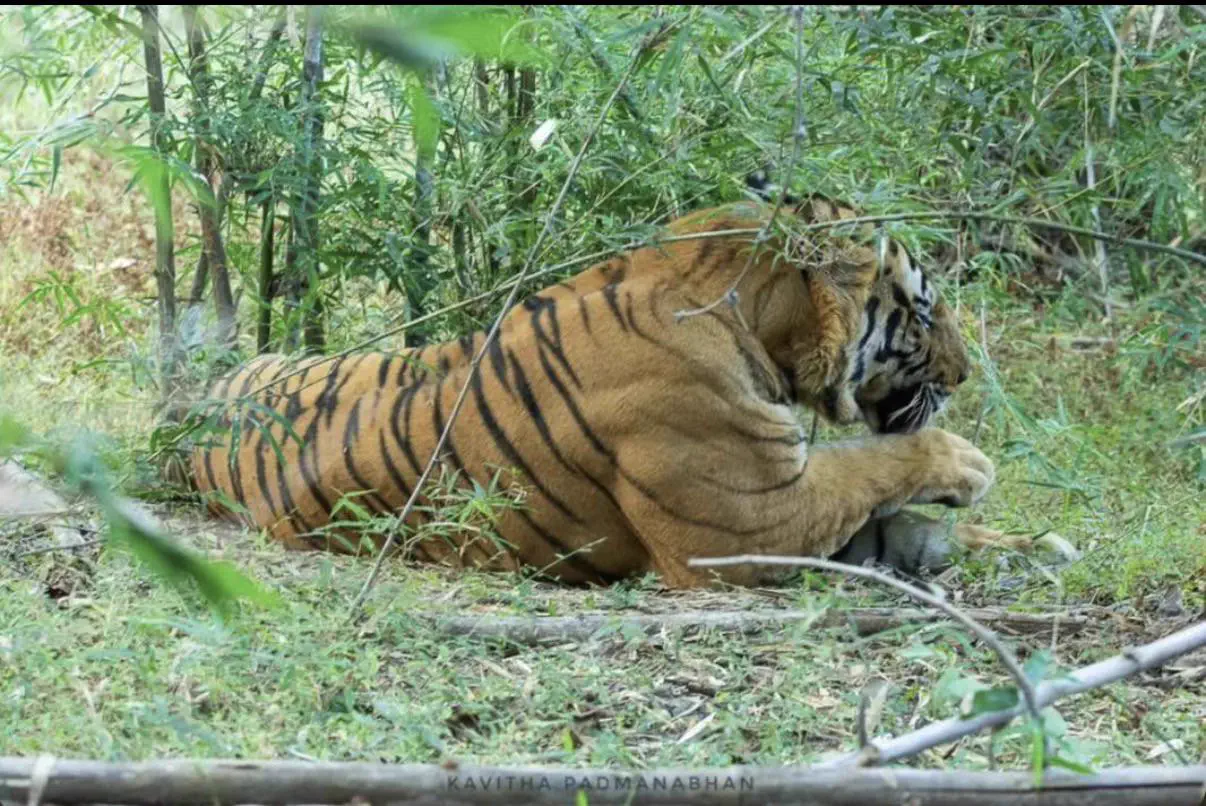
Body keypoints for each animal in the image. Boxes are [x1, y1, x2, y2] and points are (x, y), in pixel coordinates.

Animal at [188, 177, 1032, 588]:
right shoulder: (749, 525)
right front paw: (965, 465)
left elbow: (888, 514)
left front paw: (998, 542)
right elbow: (872, 462)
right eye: (925, 311)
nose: (964, 373)